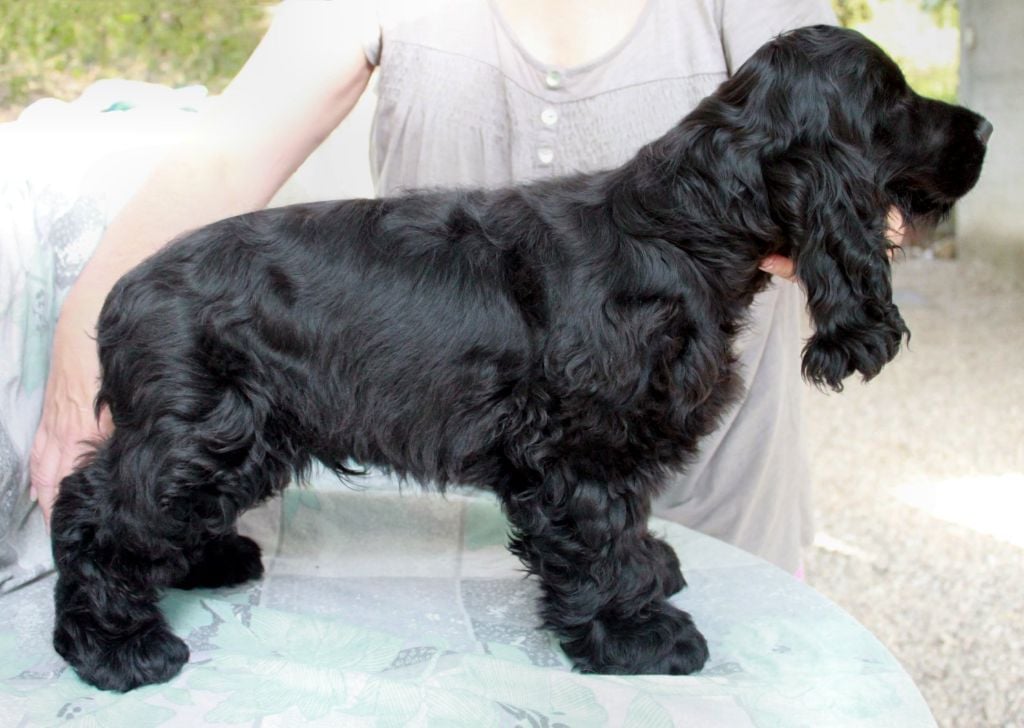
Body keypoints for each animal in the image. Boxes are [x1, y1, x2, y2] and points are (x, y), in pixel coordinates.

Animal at [51, 25, 990, 691]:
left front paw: (653, 573)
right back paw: (115, 647)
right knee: (94, 512)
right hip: (201, 433)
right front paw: (636, 635)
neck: (682, 228)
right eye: (896, 99)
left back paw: (203, 562)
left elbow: (628, 525)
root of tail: (117, 295)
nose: (984, 123)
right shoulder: (583, 448)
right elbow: (599, 538)